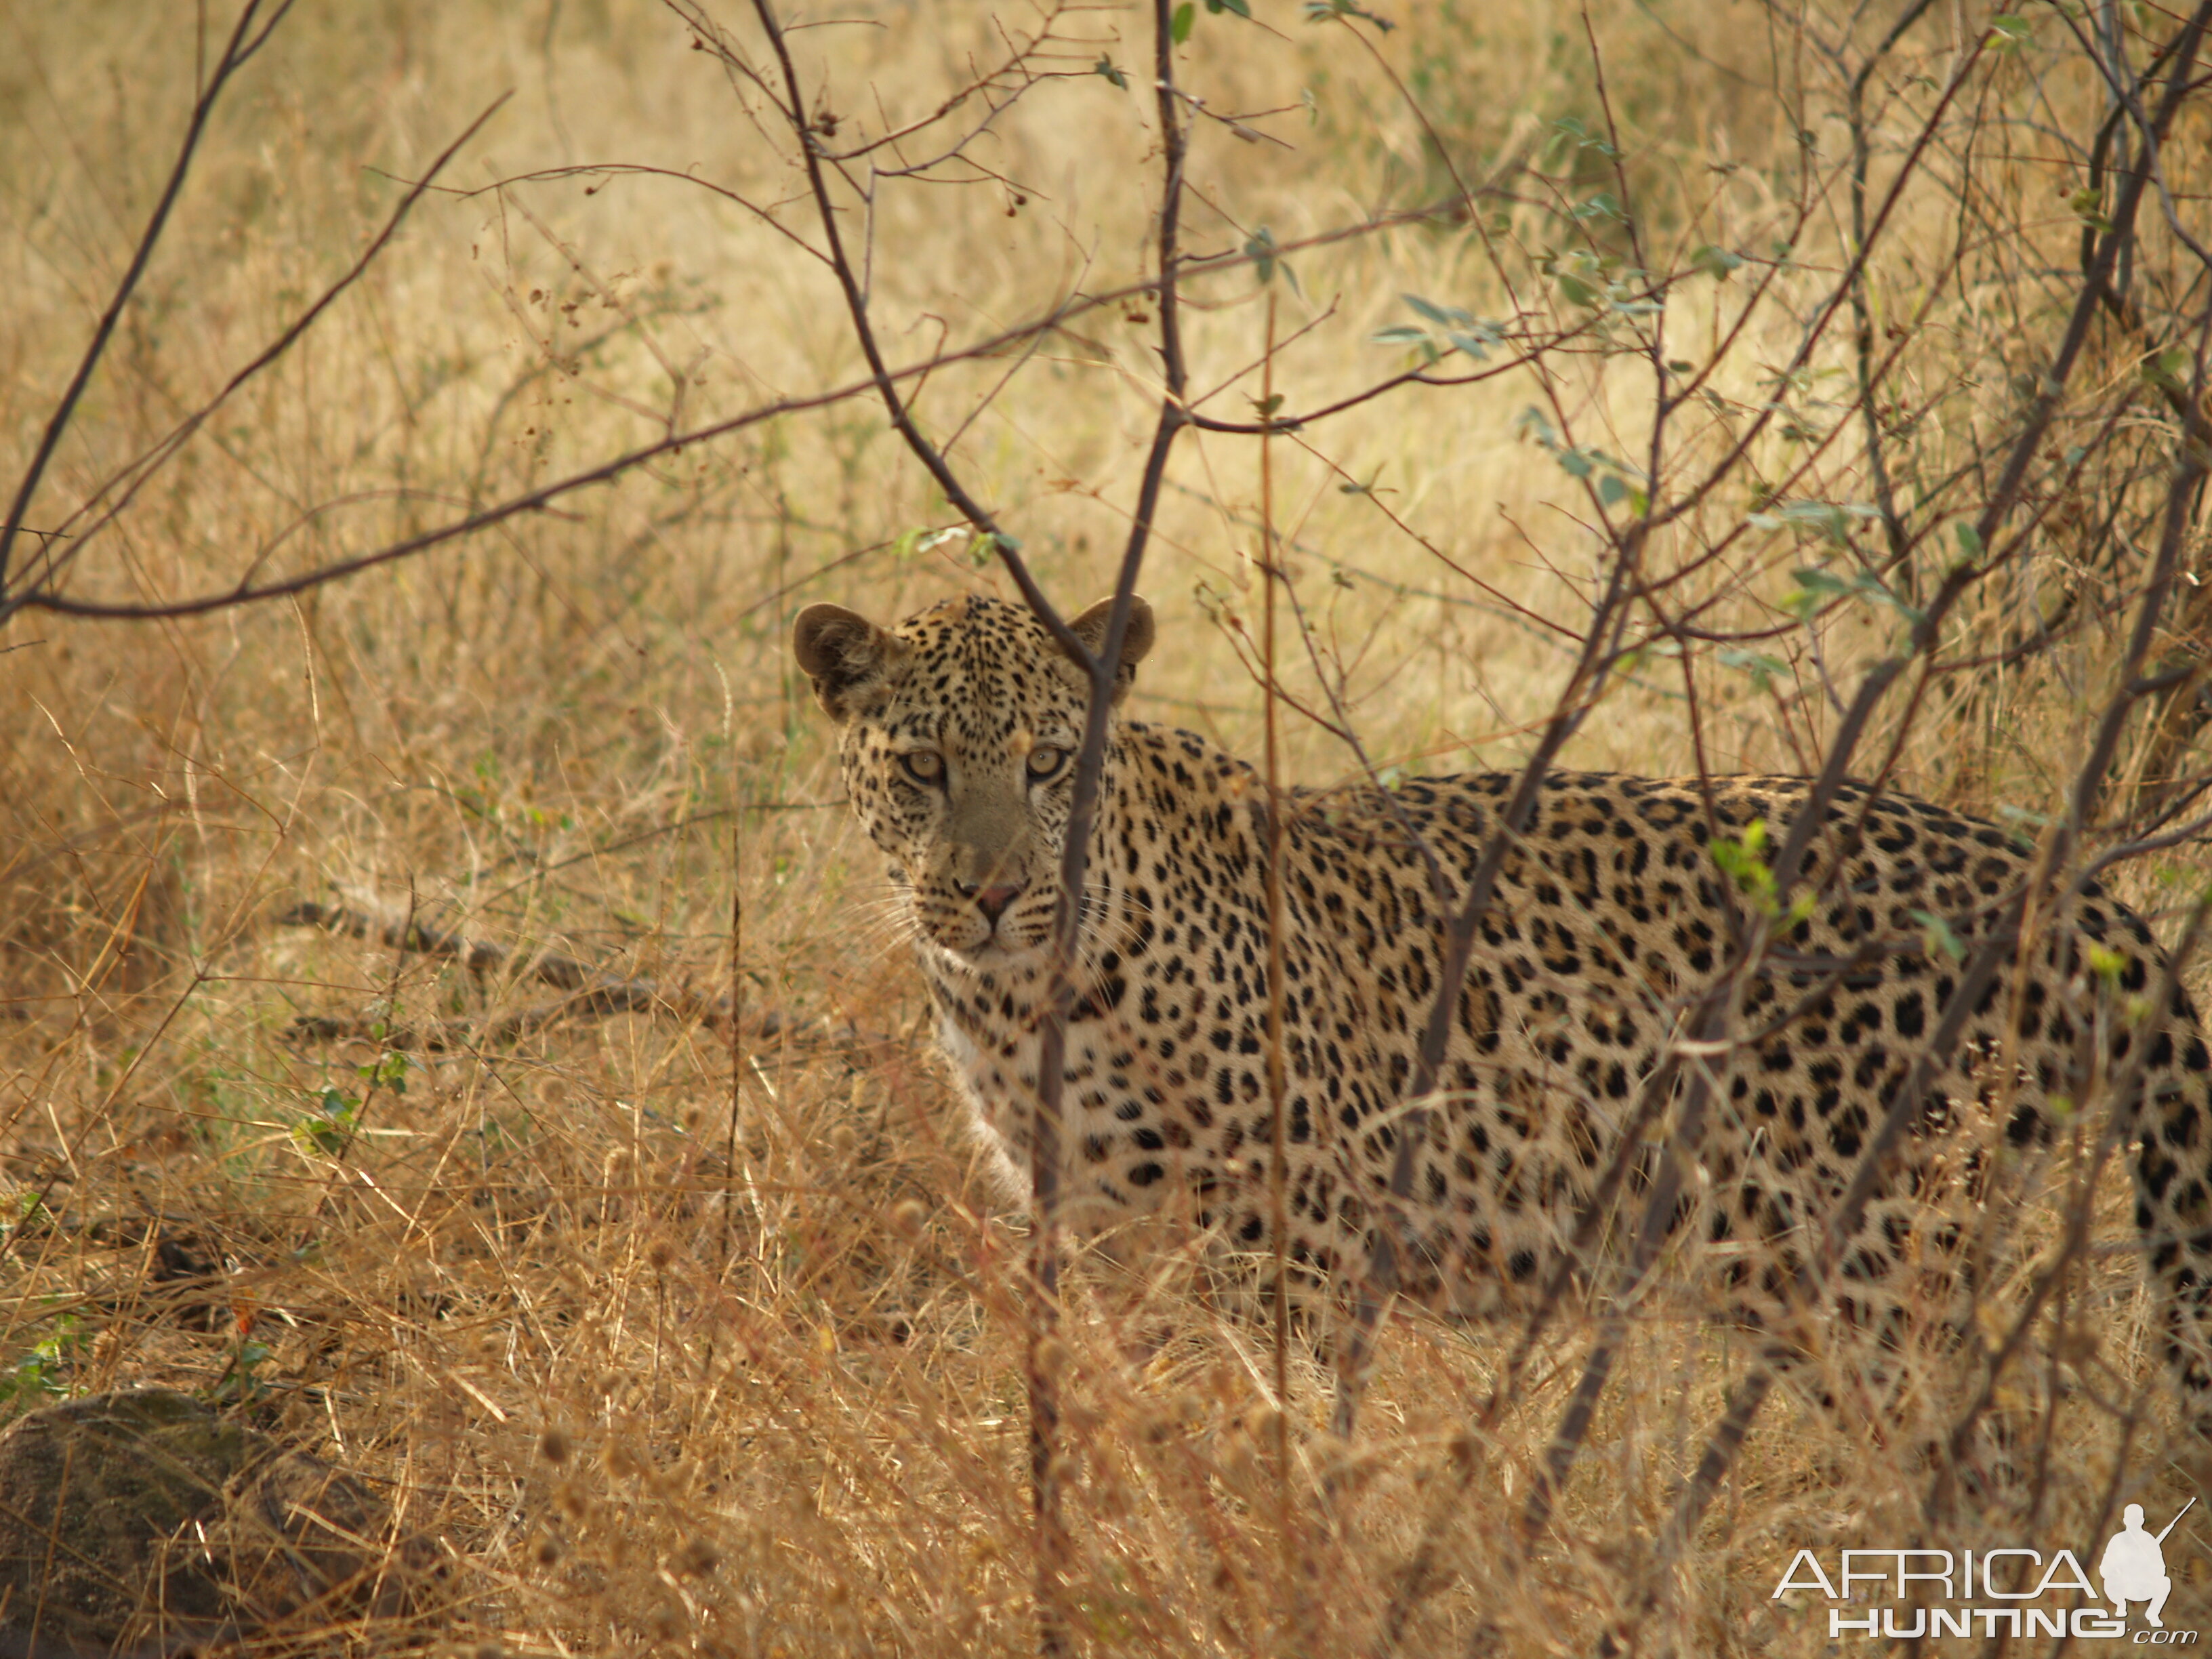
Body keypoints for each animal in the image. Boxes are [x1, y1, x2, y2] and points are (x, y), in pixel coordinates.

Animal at [800, 588, 2212, 1433]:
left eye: (1050, 762)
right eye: (922, 765)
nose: (991, 893)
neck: (1021, 998)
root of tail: (2052, 879)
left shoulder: (1298, 1244)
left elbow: (1289, 1438)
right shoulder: (1102, 1240)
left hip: (1867, 1264)